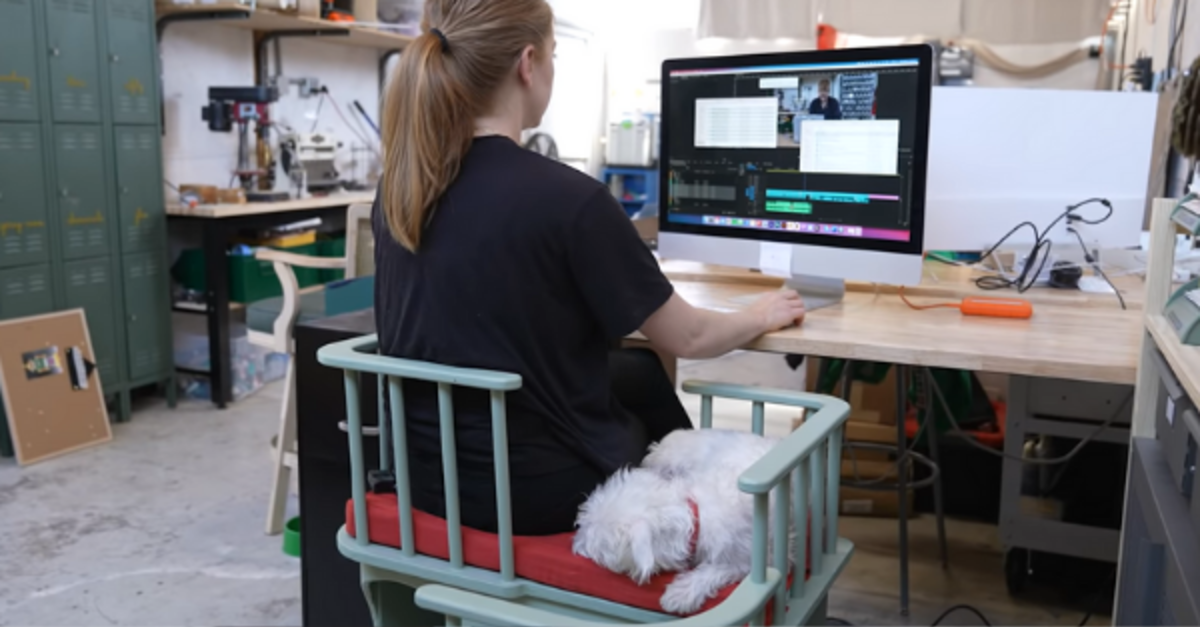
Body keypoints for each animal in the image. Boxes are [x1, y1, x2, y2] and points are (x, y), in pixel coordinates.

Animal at [571, 427, 787, 612]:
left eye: (597, 546)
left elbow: (718, 569)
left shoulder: (749, 559)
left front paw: (681, 594)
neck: (697, 515)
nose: (574, 544)